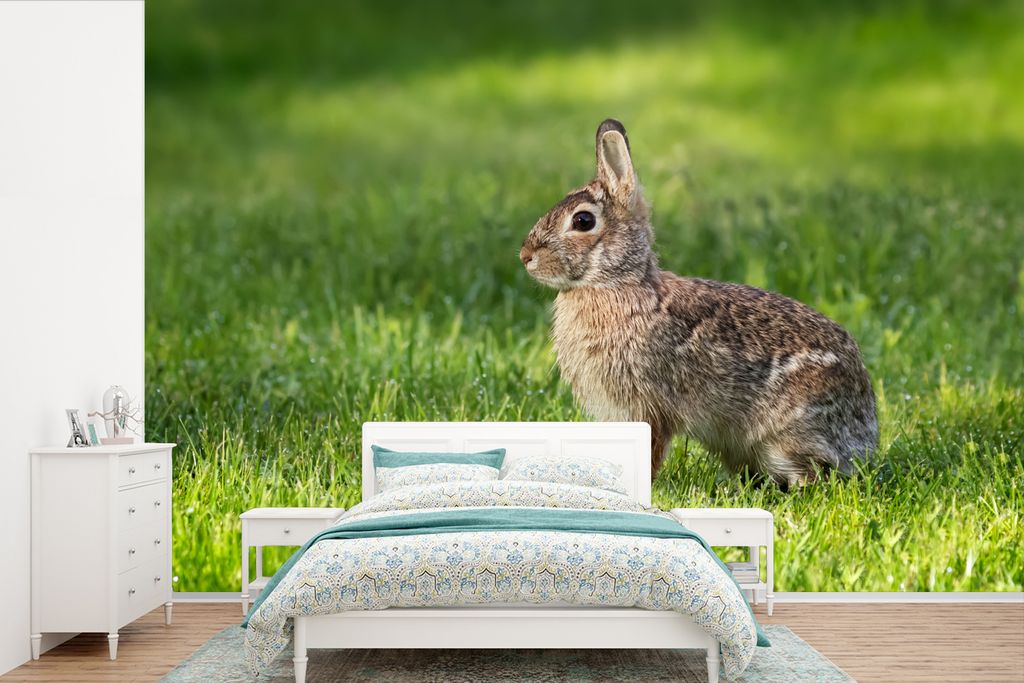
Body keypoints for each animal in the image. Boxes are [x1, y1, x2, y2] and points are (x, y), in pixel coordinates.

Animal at [519, 119, 878, 487]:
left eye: (583, 221)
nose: (526, 256)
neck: (613, 283)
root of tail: (865, 436)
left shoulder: (650, 407)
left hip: (787, 435)